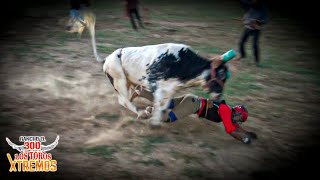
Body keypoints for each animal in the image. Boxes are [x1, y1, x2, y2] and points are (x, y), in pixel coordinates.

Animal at [81, 11, 229, 127]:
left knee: (129, 97)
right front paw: (154, 122)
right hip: (119, 80)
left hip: (128, 81)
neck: (182, 62)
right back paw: (142, 113)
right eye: (221, 75)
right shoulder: (155, 84)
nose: (219, 97)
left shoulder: (170, 89)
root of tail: (107, 58)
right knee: (124, 100)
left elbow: (165, 105)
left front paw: (158, 118)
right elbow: (160, 105)